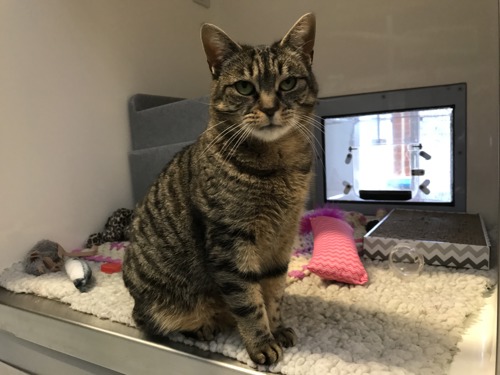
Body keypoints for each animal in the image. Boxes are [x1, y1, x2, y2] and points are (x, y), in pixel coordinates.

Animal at [121, 13, 316, 366]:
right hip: (163, 305)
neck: (279, 162)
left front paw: (277, 328)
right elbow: (249, 302)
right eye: (244, 87)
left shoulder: (282, 239)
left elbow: (273, 293)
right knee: (152, 321)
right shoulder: (230, 243)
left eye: (288, 83)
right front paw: (261, 344)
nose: (270, 108)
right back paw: (202, 327)